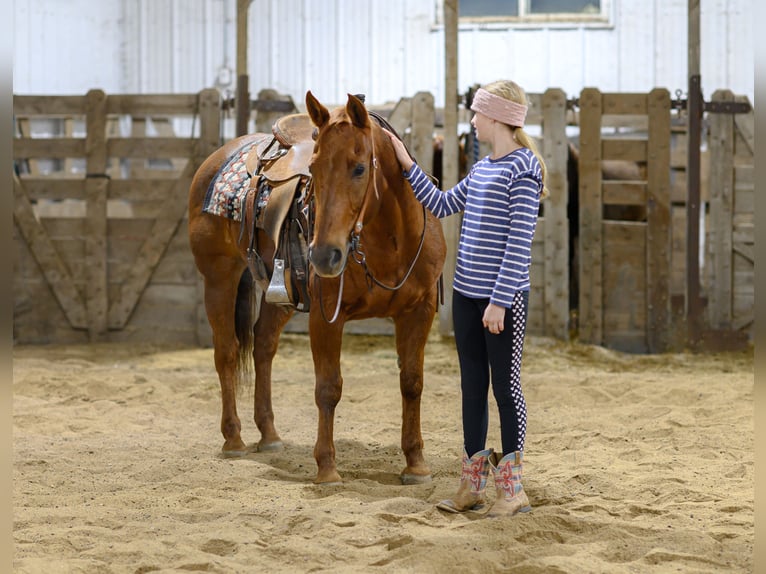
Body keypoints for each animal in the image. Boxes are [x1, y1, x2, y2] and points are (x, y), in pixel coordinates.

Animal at [187, 91, 447, 484]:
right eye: (315, 168)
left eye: (359, 168)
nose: (324, 255)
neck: (390, 243)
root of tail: (217, 157)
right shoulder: (326, 316)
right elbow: (328, 388)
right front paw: (326, 467)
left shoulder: (419, 311)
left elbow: (412, 382)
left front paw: (416, 464)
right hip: (219, 277)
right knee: (227, 352)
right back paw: (233, 438)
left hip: (278, 291)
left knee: (263, 345)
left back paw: (269, 435)